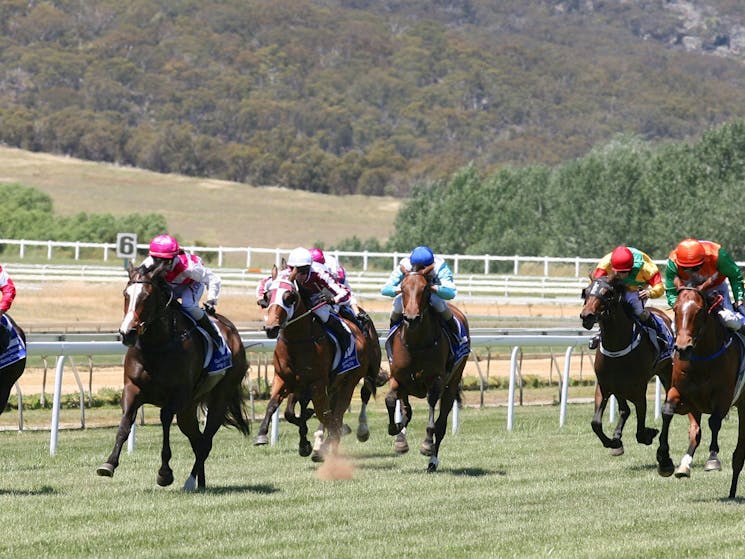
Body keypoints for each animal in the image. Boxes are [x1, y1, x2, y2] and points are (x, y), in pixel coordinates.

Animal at [96, 262, 250, 490]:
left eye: (147, 297)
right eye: (125, 294)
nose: (127, 333)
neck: (156, 346)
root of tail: (233, 333)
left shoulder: (178, 394)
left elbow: (165, 419)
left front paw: (165, 473)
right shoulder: (132, 388)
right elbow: (125, 422)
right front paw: (109, 464)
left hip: (219, 397)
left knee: (205, 442)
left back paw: (190, 482)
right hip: (188, 408)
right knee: (197, 440)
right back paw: (200, 483)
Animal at [258, 274, 384, 462]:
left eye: (289, 297)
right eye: (268, 296)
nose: (271, 328)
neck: (298, 341)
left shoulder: (316, 384)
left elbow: (321, 414)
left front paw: (313, 442)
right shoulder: (285, 380)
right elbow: (277, 406)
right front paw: (262, 434)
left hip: (350, 381)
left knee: (348, 405)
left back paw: (354, 433)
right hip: (332, 386)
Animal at [386, 266, 468, 472]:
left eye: (425, 289)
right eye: (402, 288)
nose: (411, 318)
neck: (416, 343)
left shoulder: (436, 381)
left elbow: (432, 417)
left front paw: (426, 445)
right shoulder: (398, 378)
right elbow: (394, 403)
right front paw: (397, 435)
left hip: (452, 384)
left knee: (441, 424)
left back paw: (432, 460)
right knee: (407, 411)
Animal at [580, 278, 676, 458]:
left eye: (607, 293)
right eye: (586, 291)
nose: (586, 316)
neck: (616, 347)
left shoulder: (639, 388)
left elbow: (640, 430)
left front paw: (649, 434)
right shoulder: (604, 386)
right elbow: (595, 423)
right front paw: (613, 442)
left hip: (667, 372)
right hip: (619, 387)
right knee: (625, 410)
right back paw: (617, 438)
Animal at [652, 284, 744, 498]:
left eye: (700, 311)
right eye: (676, 308)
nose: (682, 347)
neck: (702, 358)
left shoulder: (724, 396)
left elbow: (715, 422)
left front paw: (713, 459)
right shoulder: (684, 396)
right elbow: (668, 412)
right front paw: (665, 460)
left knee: (739, 453)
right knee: (696, 432)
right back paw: (685, 467)